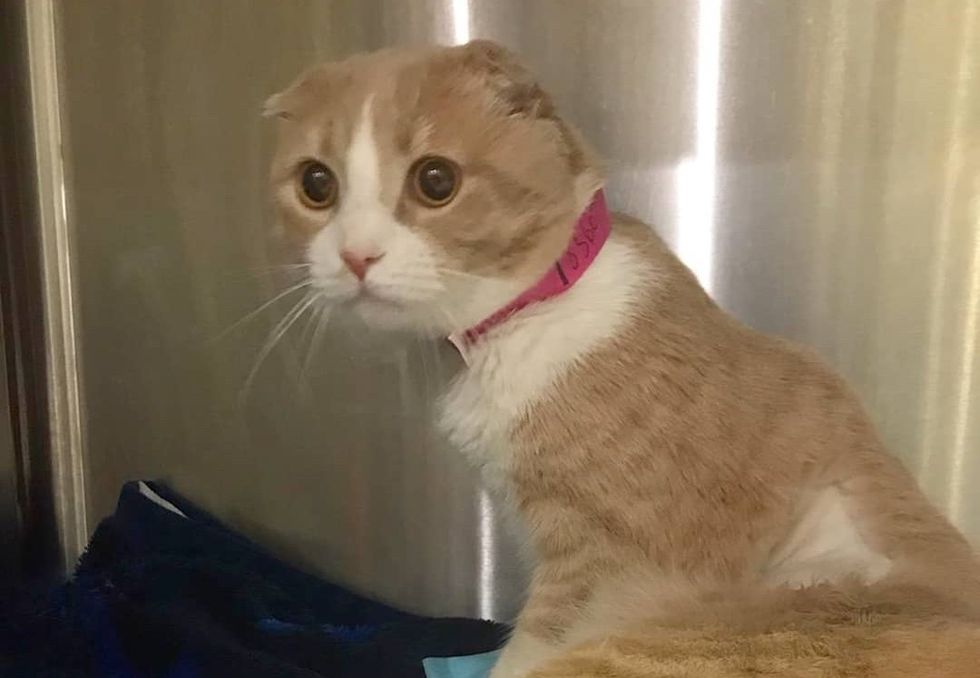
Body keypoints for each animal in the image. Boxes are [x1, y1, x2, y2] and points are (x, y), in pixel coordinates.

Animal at [266, 39, 980, 676]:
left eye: (436, 180)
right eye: (316, 184)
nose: (356, 256)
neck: (527, 316)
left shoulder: (602, 568)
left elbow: (527, 650)